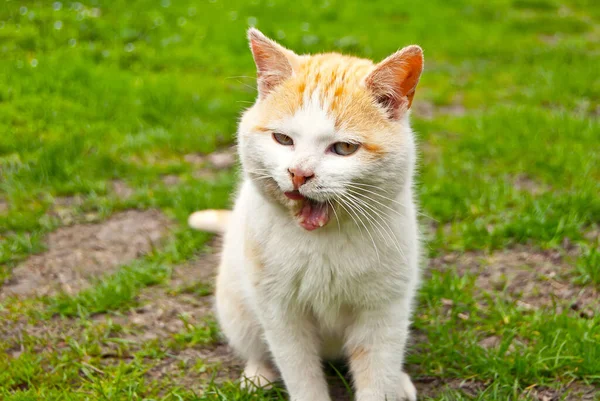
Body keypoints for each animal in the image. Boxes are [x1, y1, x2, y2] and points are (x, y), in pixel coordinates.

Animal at [190, 28, 424, 400]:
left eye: (344, 148)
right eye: (283, 139)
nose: (299, 173)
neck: (323, 242)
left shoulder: (384, 312)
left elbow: (377, 373)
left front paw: (386, 386)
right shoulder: (281, 314)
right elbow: (300, 373)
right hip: (236, 308)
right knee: (255, 347)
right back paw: (258, 374)